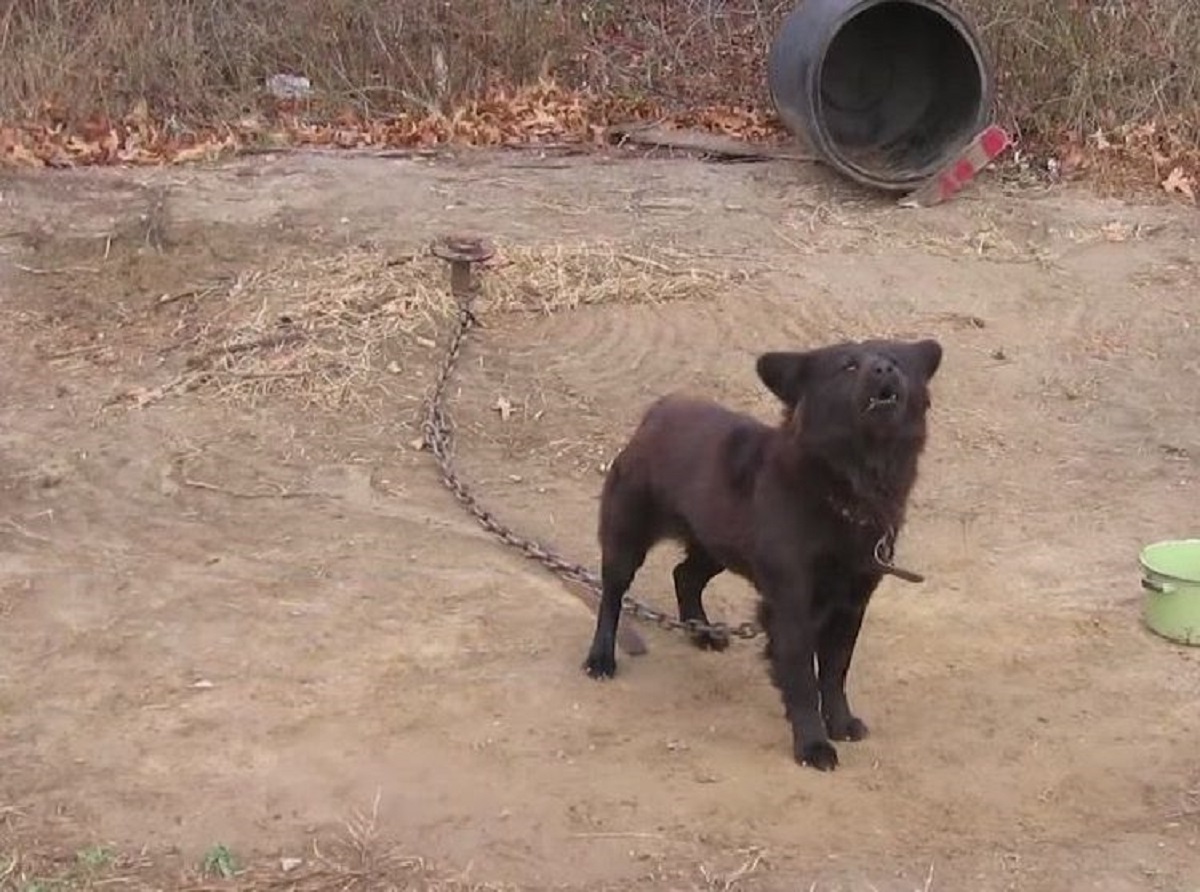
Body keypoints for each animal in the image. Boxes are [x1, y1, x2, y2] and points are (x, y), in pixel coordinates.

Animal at [578, 338, 936, 773]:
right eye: (848, 366)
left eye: (896, 359)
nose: (885, 369)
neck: (847, 486)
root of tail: (658, 412)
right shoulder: (792, 602)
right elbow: (802, 677)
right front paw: (813, 744)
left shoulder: (852, 603)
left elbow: (835, 670)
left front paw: (840, 722)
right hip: (628, 537)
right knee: (612, 595)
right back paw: (601, 658)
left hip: (714, 544)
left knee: (684, 575)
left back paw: (702, 631)